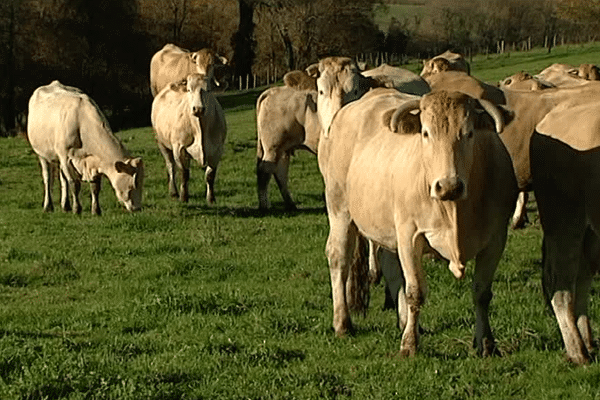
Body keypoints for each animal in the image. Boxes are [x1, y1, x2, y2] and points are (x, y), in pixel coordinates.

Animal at [28, 79, 145, 214]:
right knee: (48, 178)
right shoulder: (66, 158)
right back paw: (48, 206)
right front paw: (77, 209)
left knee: (63, 179)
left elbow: (95, 187)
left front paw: (96, 210)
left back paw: (66, 205)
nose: (137, 208)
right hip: (42, 154)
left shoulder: (95, 162)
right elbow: (74, 184)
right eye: (132, 186)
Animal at [318, 87, 520, 356]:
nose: (449, 186)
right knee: (339, 258)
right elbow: (415, 292)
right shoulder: (410, 235)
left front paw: (486, 343)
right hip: (340, 209)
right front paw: (409, 344)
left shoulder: (496, 239)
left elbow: (482, 293)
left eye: (469, 133)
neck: (454, 210)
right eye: (426, 133)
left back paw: (403, 320)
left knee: (391, 267)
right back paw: (342, 323)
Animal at [528, 101, 600, 364]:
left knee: (580, 279)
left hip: (589, 233)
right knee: (561, 284)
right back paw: (578, 352)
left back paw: (587, 342)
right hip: (564, 219)